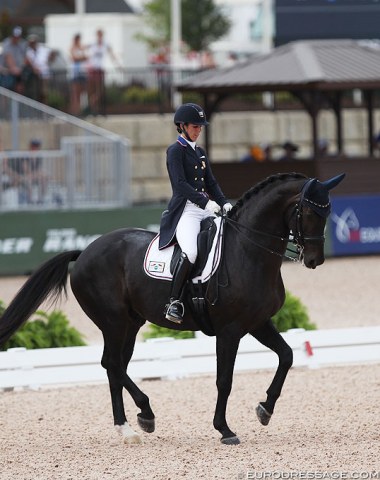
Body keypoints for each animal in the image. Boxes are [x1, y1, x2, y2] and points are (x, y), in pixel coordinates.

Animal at [0, 172, 344, 446]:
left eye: (327, 212)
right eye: (308, 210)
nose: (315, 259)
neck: (248, 251)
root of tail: (84, 252)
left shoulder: (258, 323)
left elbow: (286, 356)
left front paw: (265, 409)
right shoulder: (230, 330)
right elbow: (224, 379)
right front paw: (224, 429)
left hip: (131, 323)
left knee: (116, 366)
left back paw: (133, 424)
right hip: (112, 321)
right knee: (112, 363)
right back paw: (139, 419)